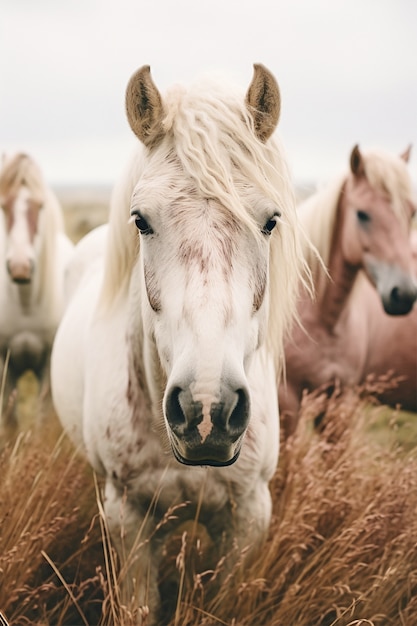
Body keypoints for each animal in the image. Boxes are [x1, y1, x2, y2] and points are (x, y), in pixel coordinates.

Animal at [0, 152, 73, 424]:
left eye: (39, 206)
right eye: (4, 206)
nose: (20, 267)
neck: (25, 304)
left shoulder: (47, 365)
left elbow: (43, 415)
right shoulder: (5, 363)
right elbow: (9, 416)